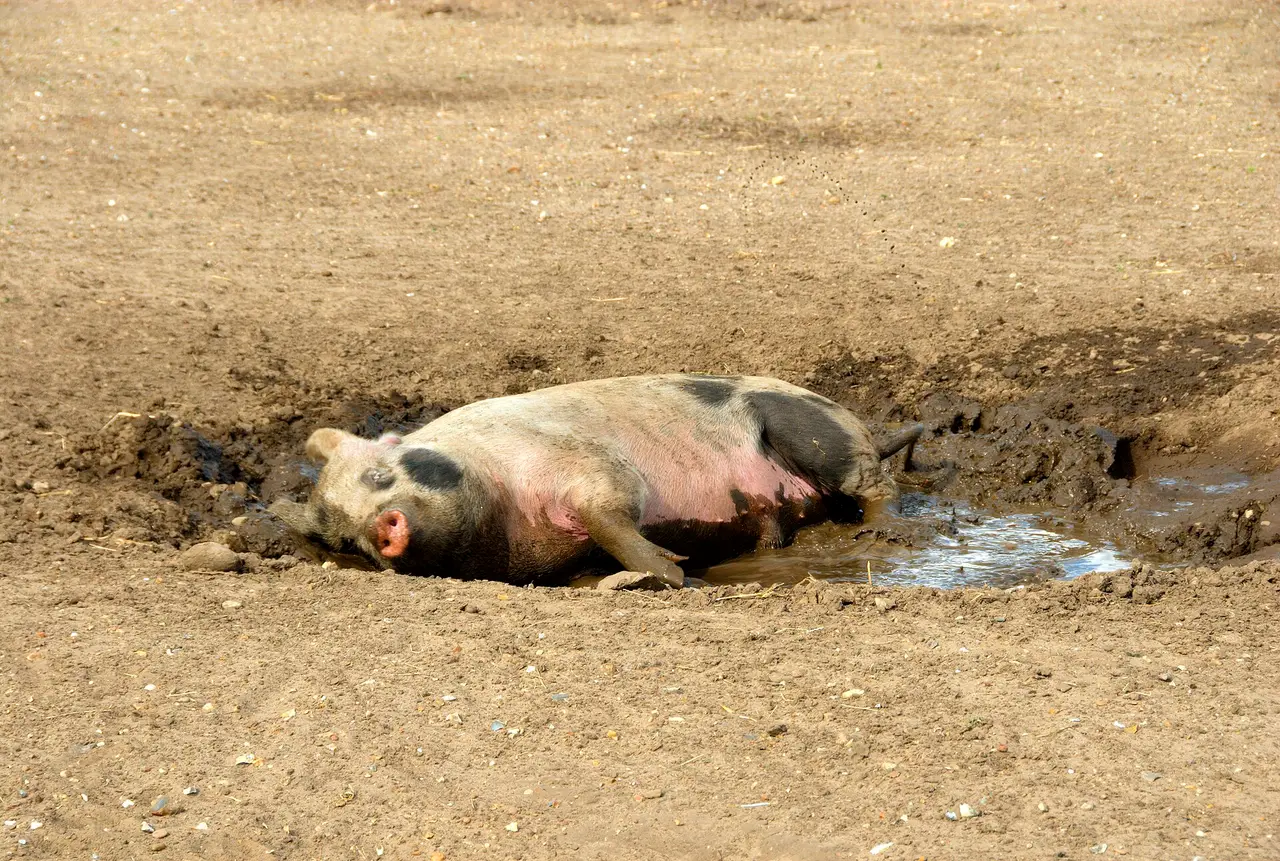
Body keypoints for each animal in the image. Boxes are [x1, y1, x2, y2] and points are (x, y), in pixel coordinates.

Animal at [271, 375, 922, 588]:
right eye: (345, 540)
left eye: (380, 475)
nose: (383, 530)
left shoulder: (593, 465)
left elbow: (610, 516)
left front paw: (676, 573)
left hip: (811, 431)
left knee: (876, 486)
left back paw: (880, 536)